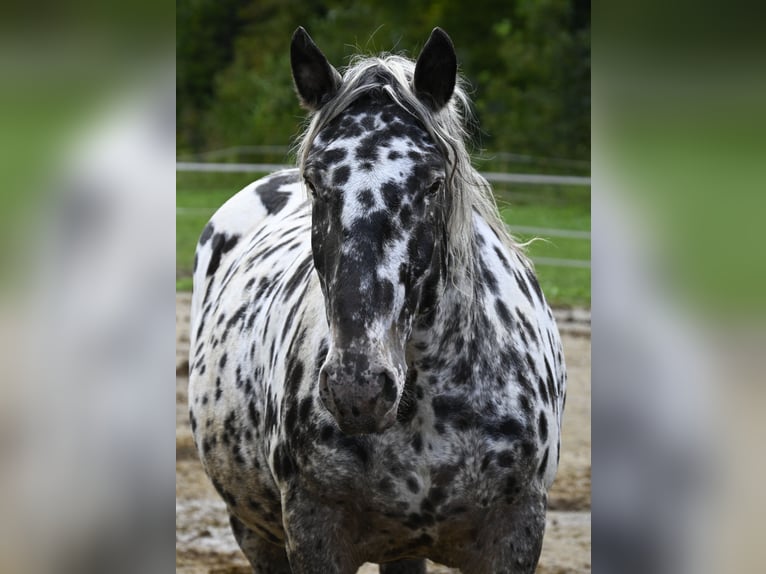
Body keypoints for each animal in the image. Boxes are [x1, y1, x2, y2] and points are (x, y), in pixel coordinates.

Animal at [189, 27, 568, 574]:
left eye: (433, 183)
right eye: (314, 182)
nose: (359, 390)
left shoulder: (515, 536)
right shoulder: (313, 538)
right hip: (255, 534)